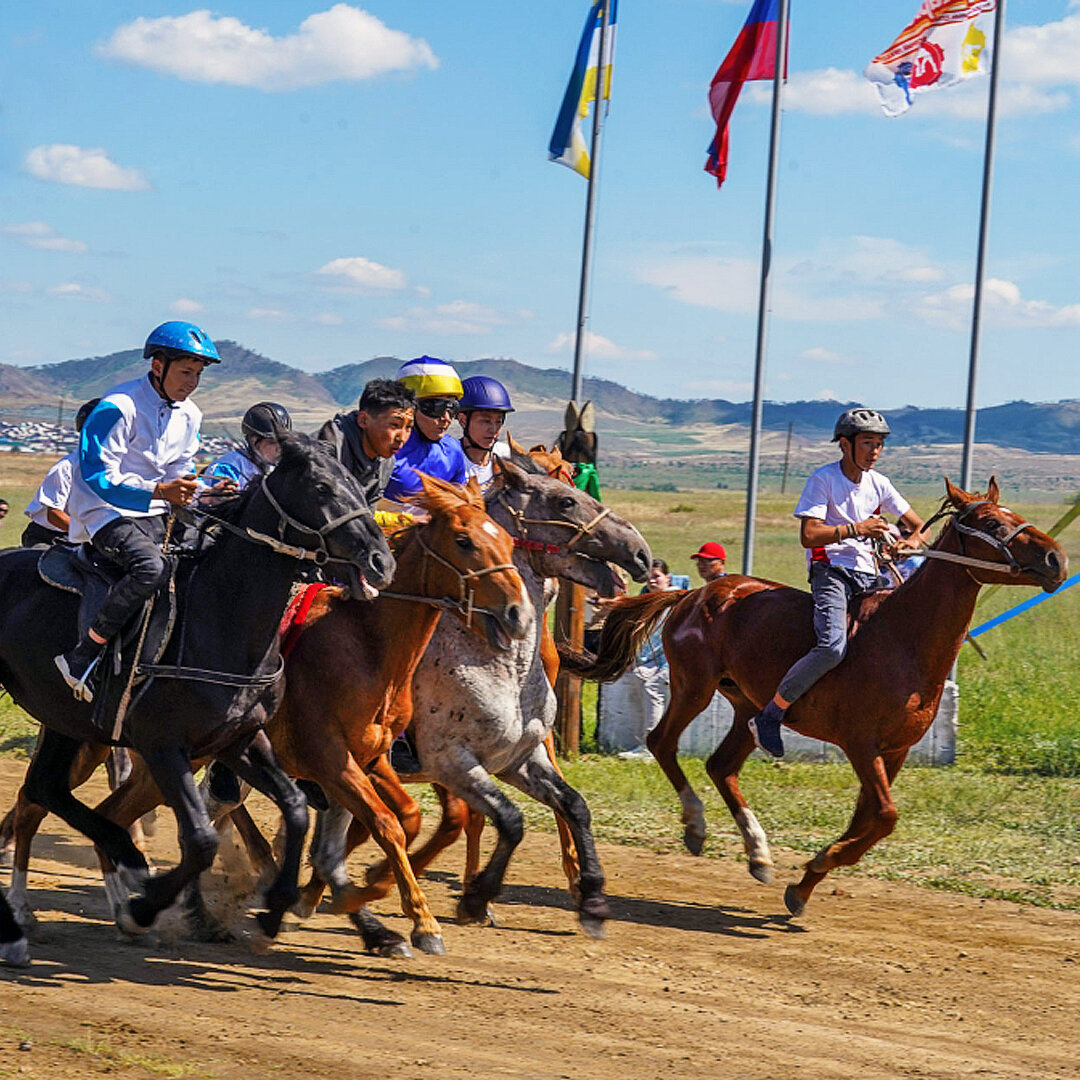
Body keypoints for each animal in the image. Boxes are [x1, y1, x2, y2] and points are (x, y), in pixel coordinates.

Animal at [0, 429, 393, 954]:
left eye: (359, 484)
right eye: (322, 488)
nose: (381, 560)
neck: (221, 619)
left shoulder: (238, 739)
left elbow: (294, 808)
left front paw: (274, 908)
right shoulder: (164, 746)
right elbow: (203, 840)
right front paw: (145, 906)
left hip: (65, 721)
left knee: (44, 788)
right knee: (44, 798)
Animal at [291, 449, 652, 946]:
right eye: (564, 500)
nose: (641, 552)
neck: (497, 661)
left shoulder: (518, 759)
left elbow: (572, 806)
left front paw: (592, 899)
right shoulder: (451, 761)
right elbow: (501, 820)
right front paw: (470, 898)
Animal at [561, 483, 1067, 920]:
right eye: (992, 522)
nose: (1056, 558)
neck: (904, 637)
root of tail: (694, 592)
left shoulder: (895, 752)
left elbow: (867, 819)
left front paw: (805, 883)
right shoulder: (862, 745)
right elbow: (884, 816)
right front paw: (818, 864)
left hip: (748, 706)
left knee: (722, 765)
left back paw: (759, 853)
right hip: (693, 687)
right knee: (662, 743)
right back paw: (696, 827)